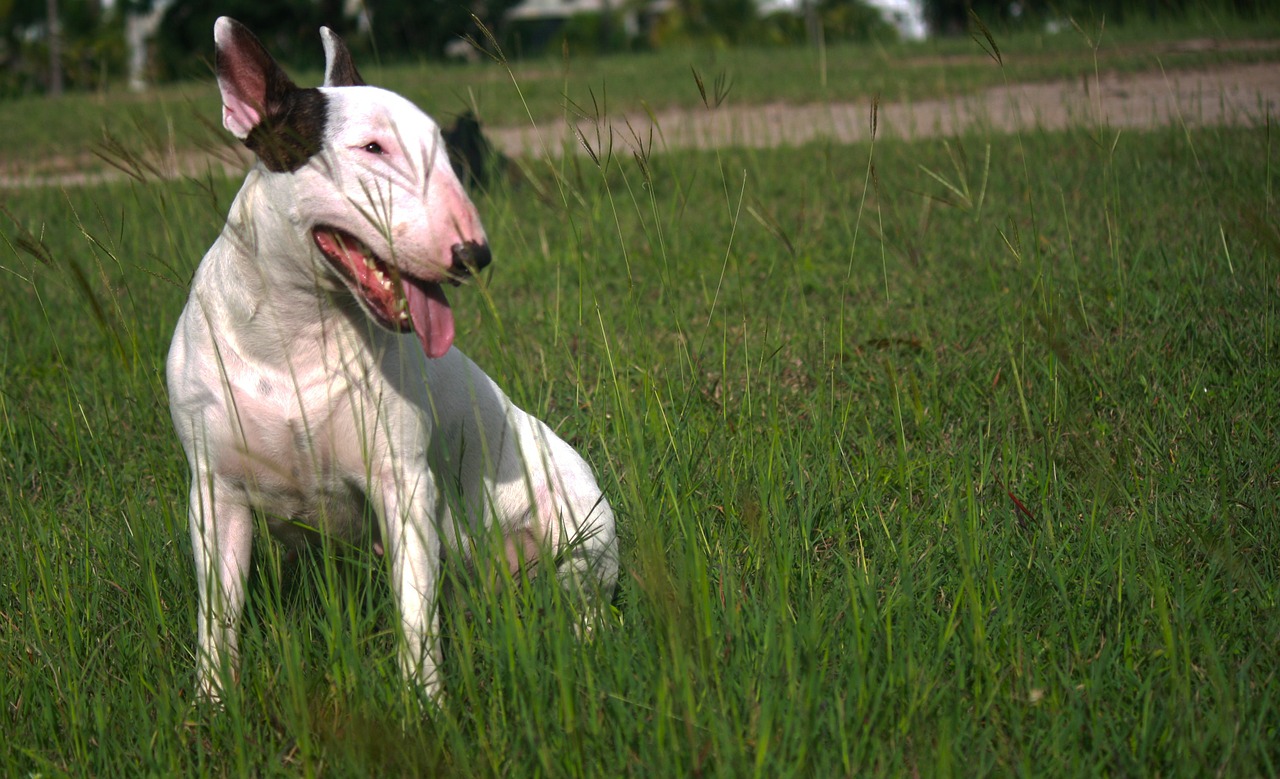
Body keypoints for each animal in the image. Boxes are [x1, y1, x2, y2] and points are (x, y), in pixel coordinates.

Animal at [166, 16, 619, 700]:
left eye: (440, 148)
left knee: (584, 603)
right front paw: (212, 705)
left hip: (583, 529)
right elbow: (218, 617)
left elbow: (414, 614)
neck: (296, 333)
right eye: (371, 148)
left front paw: (423, 704)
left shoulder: (402, 483)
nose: (474, 254)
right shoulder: (215, 495)